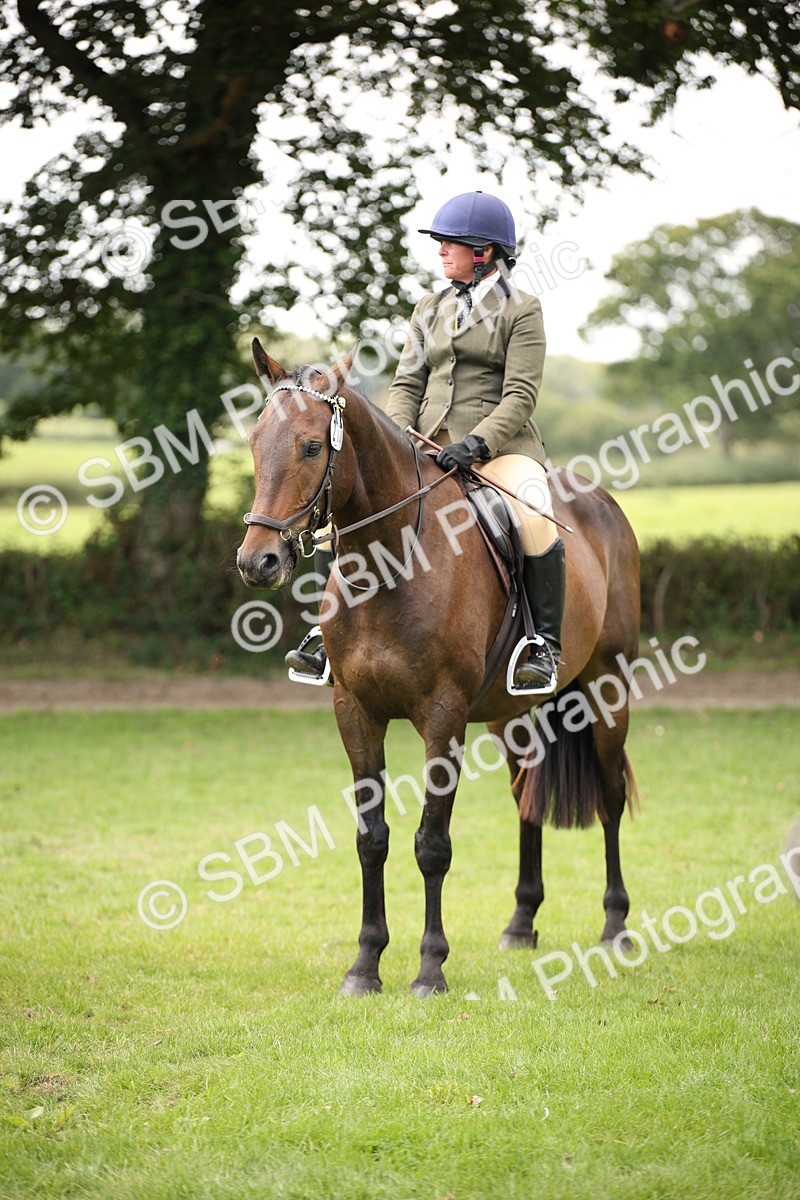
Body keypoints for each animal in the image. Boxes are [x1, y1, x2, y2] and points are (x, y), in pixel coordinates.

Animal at [237, 340, 640, 997]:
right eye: (253, 441)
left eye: (312, 446)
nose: (258, 562)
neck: (391, 562)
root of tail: (601, 502)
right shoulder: (355, 713)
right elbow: (371, 838)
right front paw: (365, 965)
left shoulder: (443, 717)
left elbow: (432, 843)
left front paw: (429, 968)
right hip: (512, 718)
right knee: (527, 798)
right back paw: (521, 924)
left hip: (609, 691)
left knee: (609, 798)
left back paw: (616, 927)